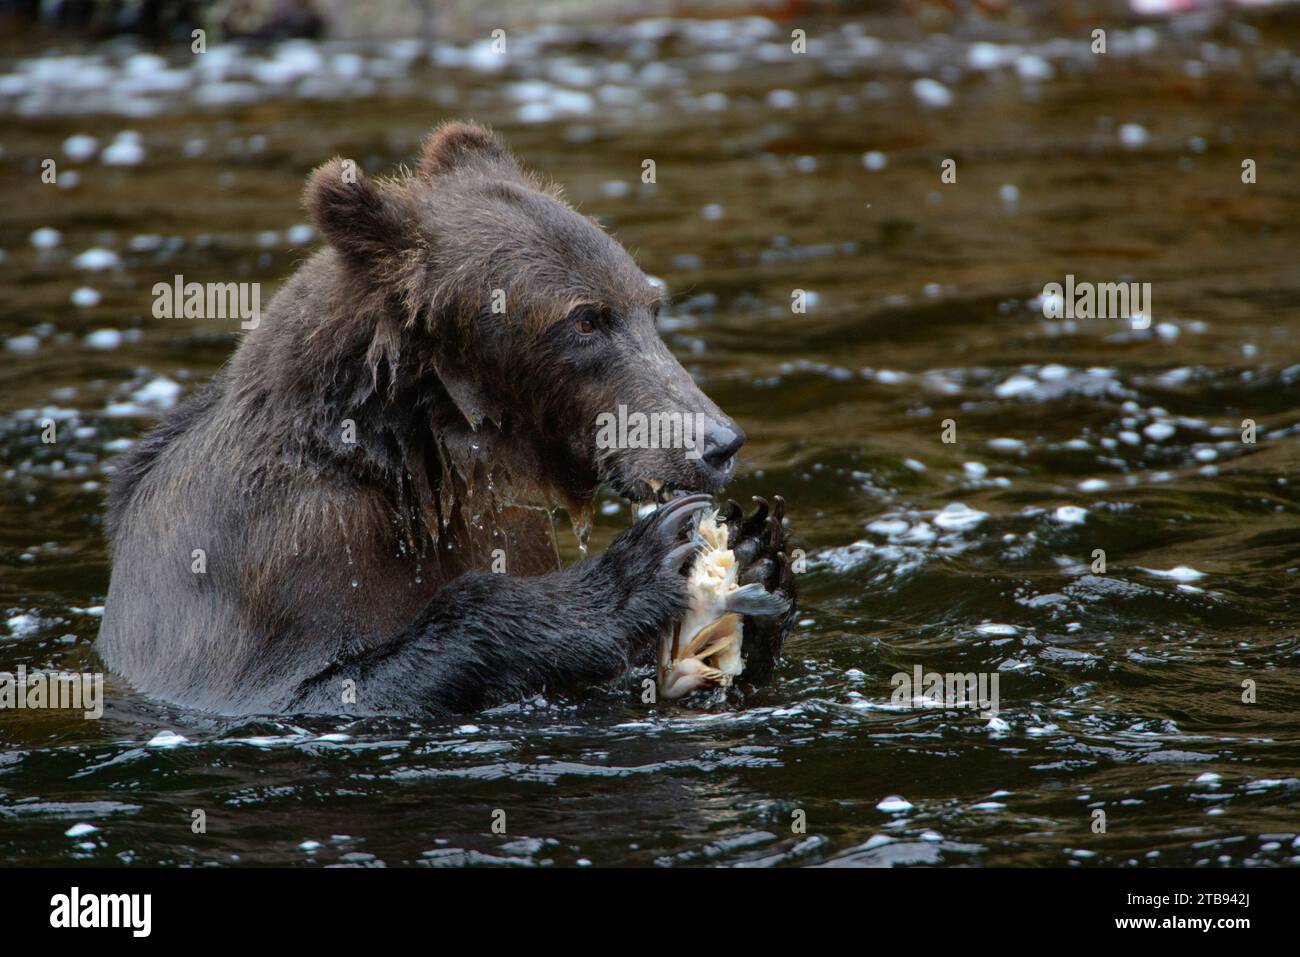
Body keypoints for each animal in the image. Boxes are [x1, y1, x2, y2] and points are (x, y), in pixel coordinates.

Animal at [96, 123, 795, 712]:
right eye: (586, 320)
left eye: (651, 304)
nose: (719, 443)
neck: (417, 457)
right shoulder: (278, 549)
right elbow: (325, 684)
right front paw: (631, 572)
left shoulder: (502, 522)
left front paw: (757, 550)